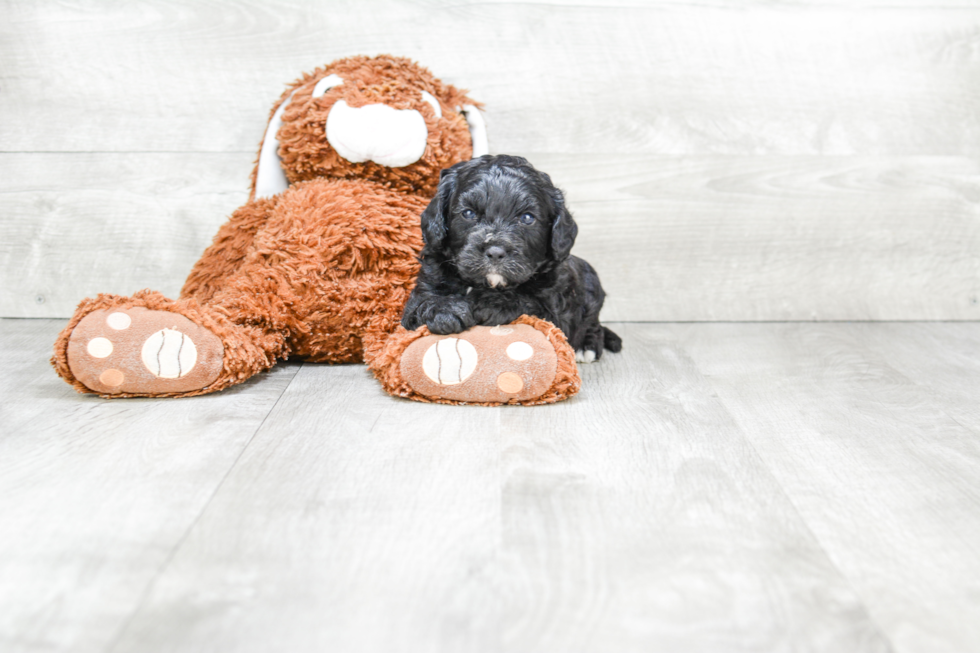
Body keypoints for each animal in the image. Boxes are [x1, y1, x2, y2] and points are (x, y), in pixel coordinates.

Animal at [404, 156, 620, 364]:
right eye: (468, 213)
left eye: (527, 218)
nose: (495, 252)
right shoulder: (423, 289)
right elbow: (423, 303)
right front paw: (444, 311)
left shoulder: (555, 307)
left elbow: (530, 301)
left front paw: (491, 303)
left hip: (591, 284)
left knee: (593, 323)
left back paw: (587, 346)